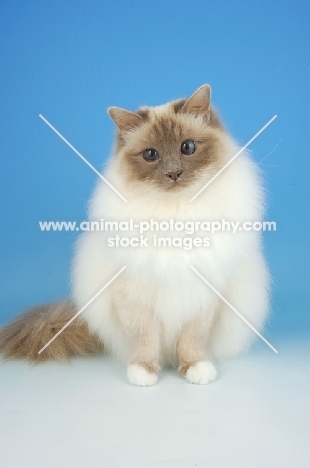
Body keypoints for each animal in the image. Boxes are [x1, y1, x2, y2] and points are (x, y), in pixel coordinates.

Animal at [0, 86, 268, 386]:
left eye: (187, 148)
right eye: (151, 155)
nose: (174, 173)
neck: (174, 214)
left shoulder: (203, 295)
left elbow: (192, 340)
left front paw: (195, 368)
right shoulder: (134, 295)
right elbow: (145, 338)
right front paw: (144, 372)